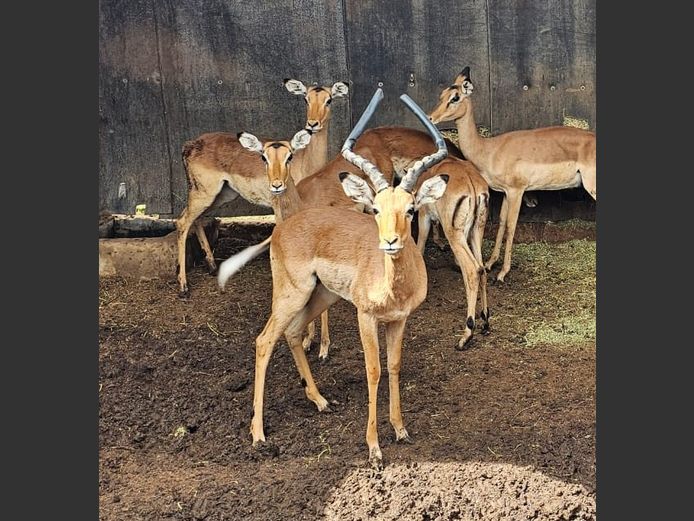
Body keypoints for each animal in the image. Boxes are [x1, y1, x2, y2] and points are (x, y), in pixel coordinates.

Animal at [175, 79, 349, 297]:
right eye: (306, 98)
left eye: (329, 99)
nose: (312, 124)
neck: (303, 161)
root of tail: (189, 145)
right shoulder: (278, 206)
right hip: (204, 193)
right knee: (182, 222)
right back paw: (183, 287)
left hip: (221, 195)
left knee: (196, 219)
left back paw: (212, 266)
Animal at [218, 89, 450, 468]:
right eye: (376, 209)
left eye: (411, 209)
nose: (390, 242)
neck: (393, 286)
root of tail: (282, 227)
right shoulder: (365, 316)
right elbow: (373, 370)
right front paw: (374, 447)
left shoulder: (399, 319)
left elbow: (394, 365)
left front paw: (400, 430)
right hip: (291, 294)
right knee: (264, 340)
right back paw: (259, 434)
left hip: (321, 295)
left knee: (294, 333)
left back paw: (322, 401)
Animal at [415, 158, 490, 349]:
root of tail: (471, 183)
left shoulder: (424, 217)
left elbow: (419, 248)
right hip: (475, 232)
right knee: (482, 269)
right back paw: (485, 322)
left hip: (455, 234)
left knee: (472, 270)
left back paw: (466, 335)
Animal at [429, 67, 596, 282]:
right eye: (442, 94)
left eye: (455, 97)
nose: (431, 117)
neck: (489, 149)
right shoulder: (506, 193)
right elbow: (501, 223)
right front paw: (490, 263)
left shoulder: (517, 191)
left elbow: (511, 226)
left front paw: (502, 272)